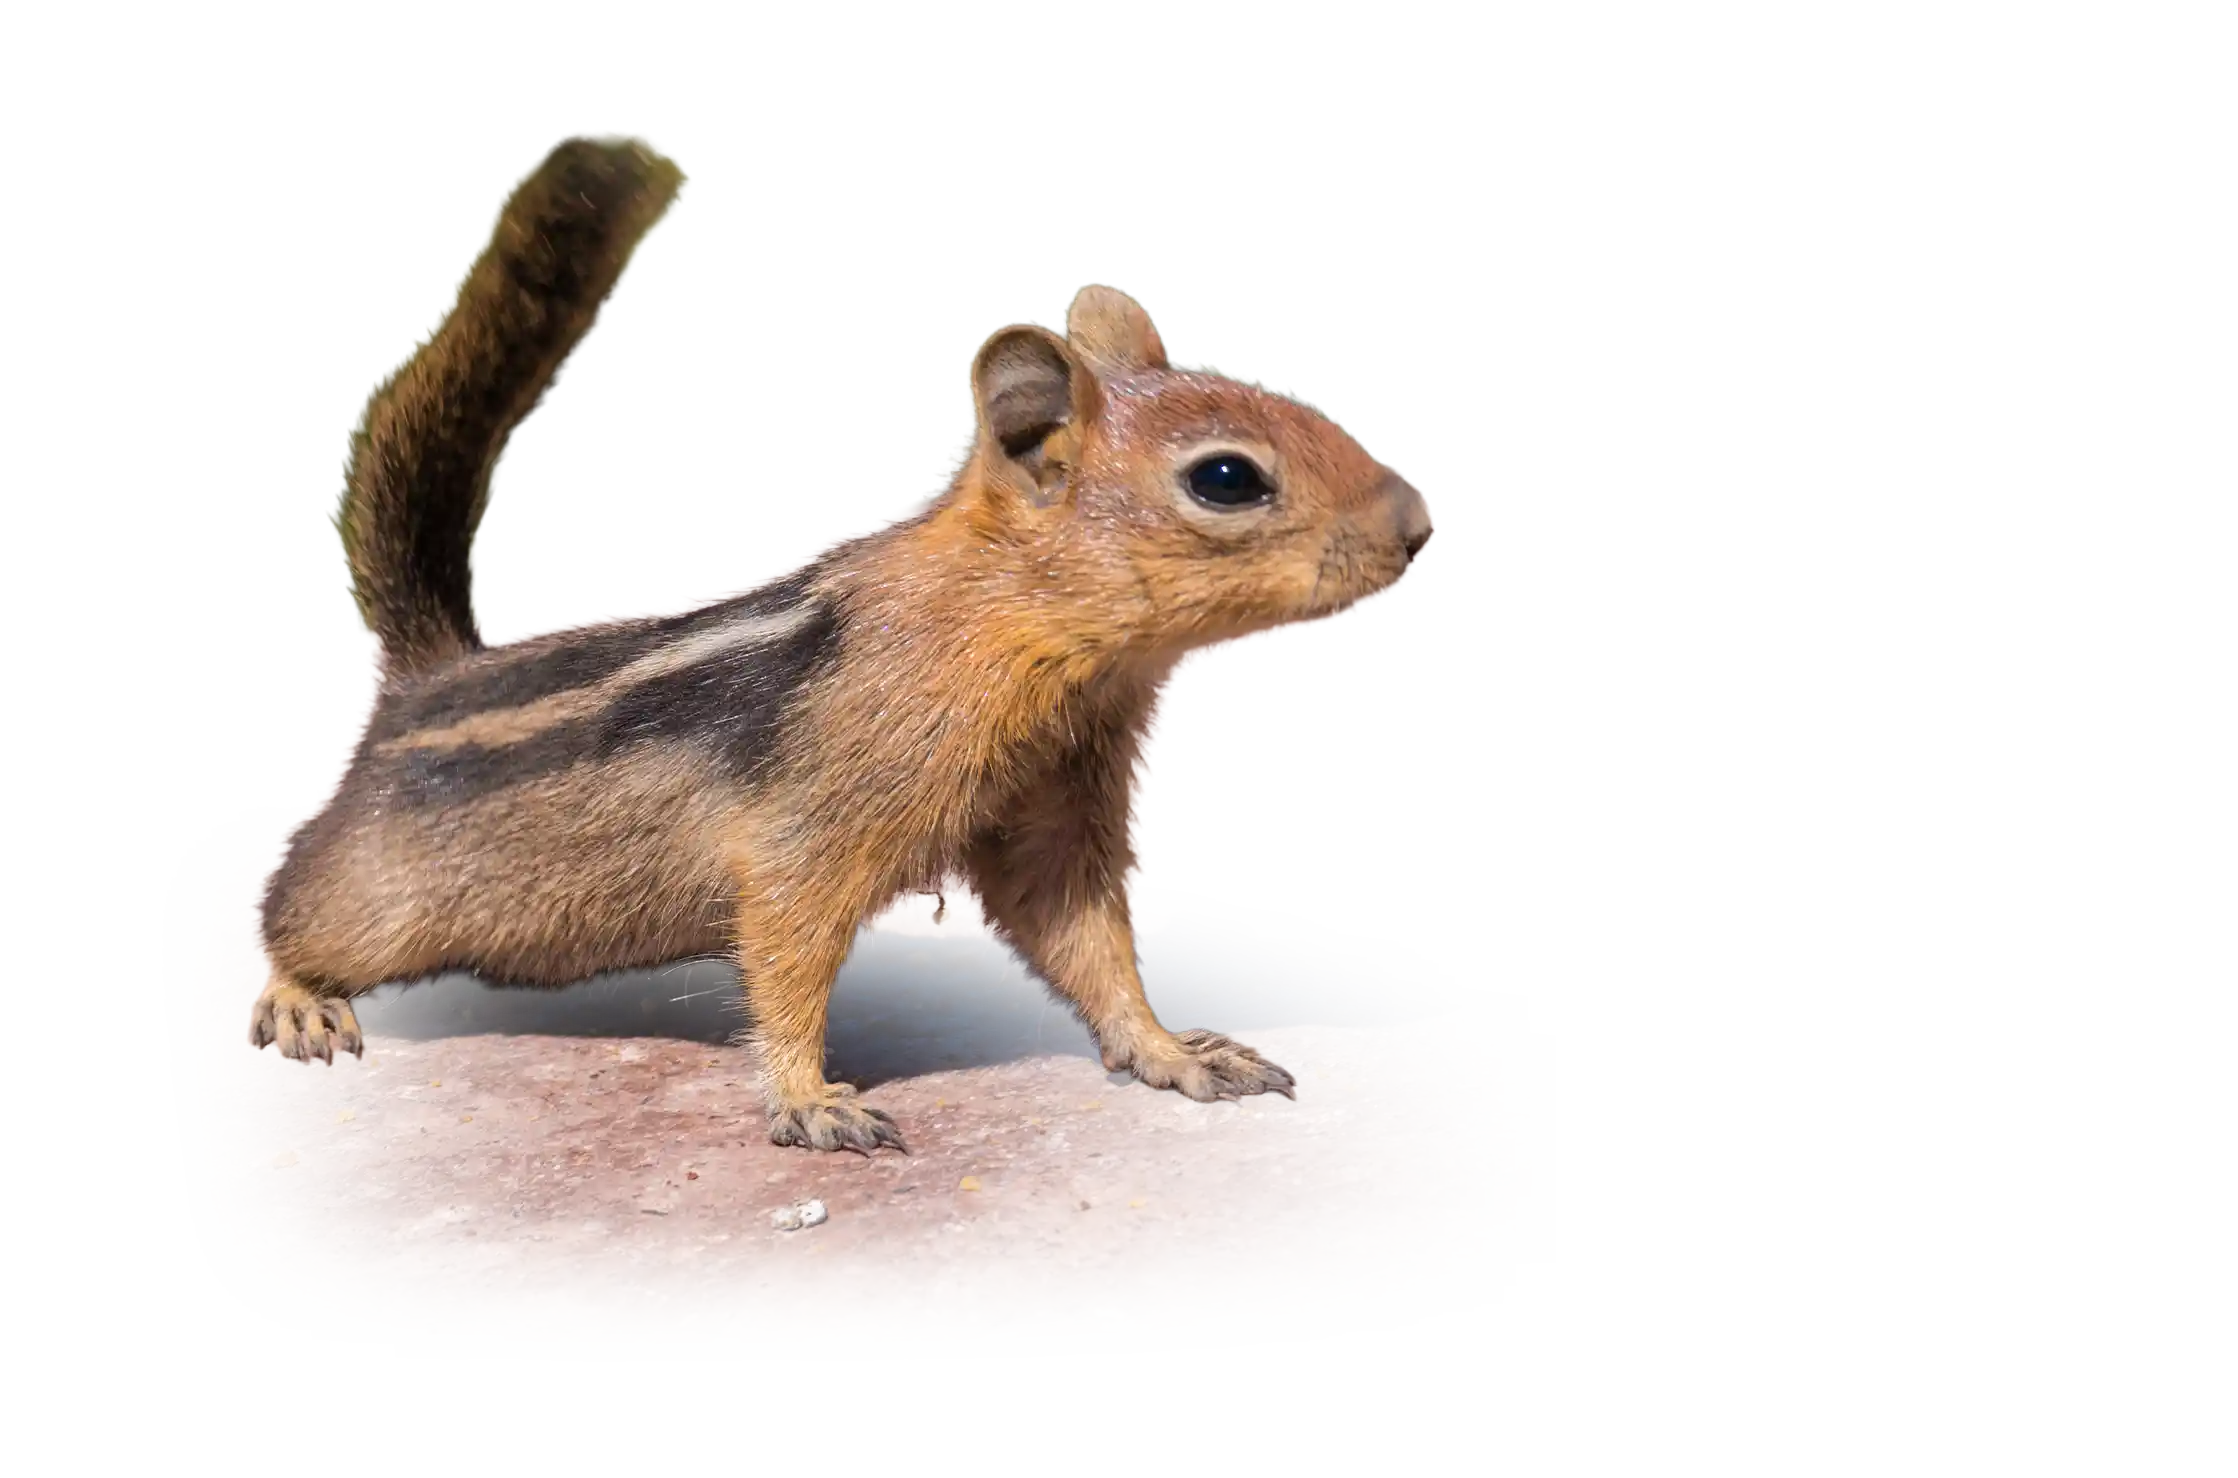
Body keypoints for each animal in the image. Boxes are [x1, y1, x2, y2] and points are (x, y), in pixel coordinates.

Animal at [252, 128, 1438, 1154]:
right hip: (377, 905)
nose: (1421, 521)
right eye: (1227, 478)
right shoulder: (814, 828)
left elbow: (1084, 938)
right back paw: (298, 999)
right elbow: (789, 948)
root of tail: (425, 678)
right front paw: (808, 1098)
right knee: (287, 910)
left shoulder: (1052, 798)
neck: (1006, 622)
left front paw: (1173, 1051)